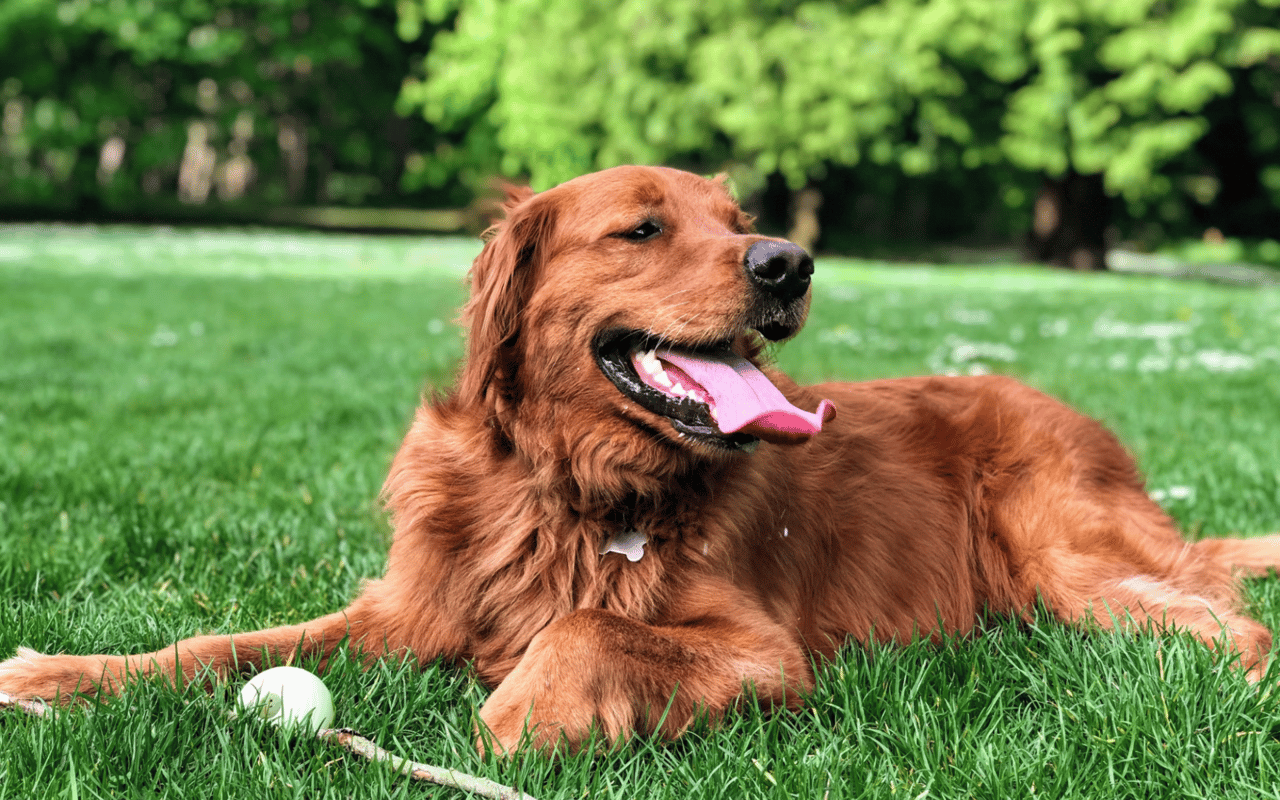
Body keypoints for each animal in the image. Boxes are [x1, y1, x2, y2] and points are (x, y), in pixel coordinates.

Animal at [2, 165, 1280, 752]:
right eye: (642, 226)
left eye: (739, 219)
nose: (787, 261)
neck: (563, 482)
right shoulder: (404, 610)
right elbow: (216, 641)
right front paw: (61, 671)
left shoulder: (766, 651)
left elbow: (583, 624)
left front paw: (521, 710)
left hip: (1062, 556)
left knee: (1232, 622)